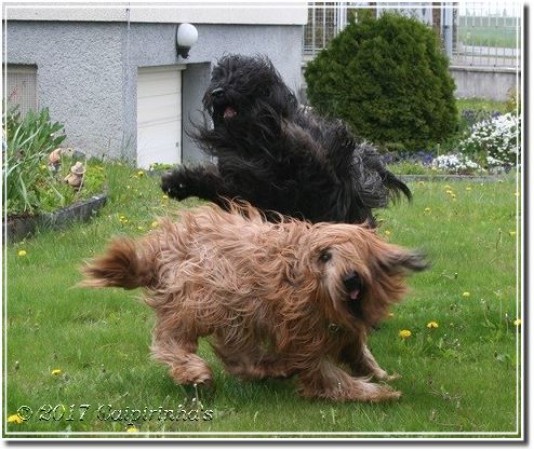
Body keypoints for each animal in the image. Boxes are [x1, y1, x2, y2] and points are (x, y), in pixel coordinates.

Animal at [80, 202, 427, 402]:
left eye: (359, 253)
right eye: (326, 256)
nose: (350, 279)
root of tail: (159, 251)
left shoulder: (344, 331)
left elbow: (359, 354)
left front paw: (381, 376)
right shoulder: (302, 337)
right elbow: (328, 376)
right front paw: (378, 393)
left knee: (237, 357)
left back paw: (269, 369)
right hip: (207, 299)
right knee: (175, 342)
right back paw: (197, 372)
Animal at [161, 54, 411, 226]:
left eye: (240, 77)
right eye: (219, 76)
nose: (216, 92)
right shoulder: (247, 186)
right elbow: (219, 183)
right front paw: (178, 181)